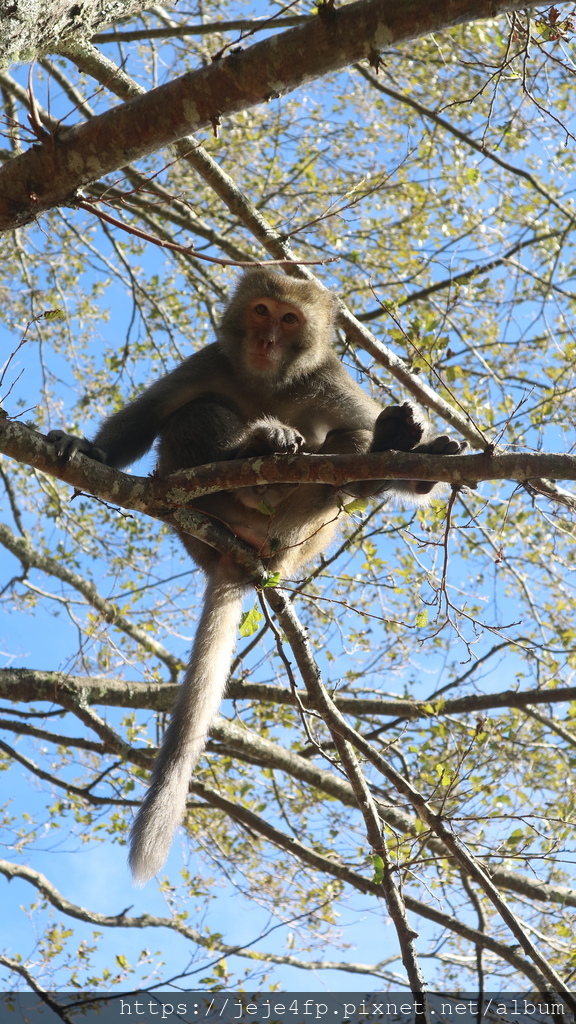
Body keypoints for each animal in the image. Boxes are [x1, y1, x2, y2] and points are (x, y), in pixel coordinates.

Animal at [47, 268, 463, 884]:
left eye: (290, 320)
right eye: (262, 311)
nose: (266, 340)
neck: (271, 380)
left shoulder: (329, 381)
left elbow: (367, 442)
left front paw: (409, 451)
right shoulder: (209, 361)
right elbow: (151, 416)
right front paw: (88, 448)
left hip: (299, 537)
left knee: (347, 455)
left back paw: (327, 457)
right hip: (200, 508)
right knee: (192, 414)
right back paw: (255, 453)